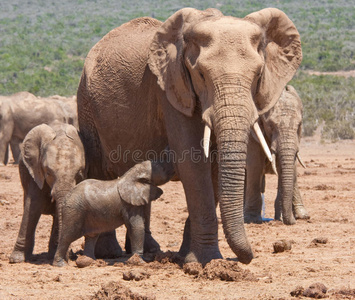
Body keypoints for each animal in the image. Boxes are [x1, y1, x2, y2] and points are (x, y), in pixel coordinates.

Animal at [9, 122, 86, 262]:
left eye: (79, 173)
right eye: (48, 172)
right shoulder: (35, 170)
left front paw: (55, 256)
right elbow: (34, 205)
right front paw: (16, 259)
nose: (69, 257)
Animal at [76, 7, 302, 264]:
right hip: (86, 104)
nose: (247, 257)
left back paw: (149, 250)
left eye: (258, 75)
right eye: (201, 74)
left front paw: (189, 258)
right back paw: (109, 253)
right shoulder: (171, 89)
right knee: (99, 169)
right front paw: (205, 261)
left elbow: (214, 167)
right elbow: (194, 162)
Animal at [246, 85, 310, 225]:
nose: (292, 221)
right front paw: (252, 219)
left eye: (299, 125)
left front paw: (281, 217)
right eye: (271, 125)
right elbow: (255, 165)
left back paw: (303, 215)